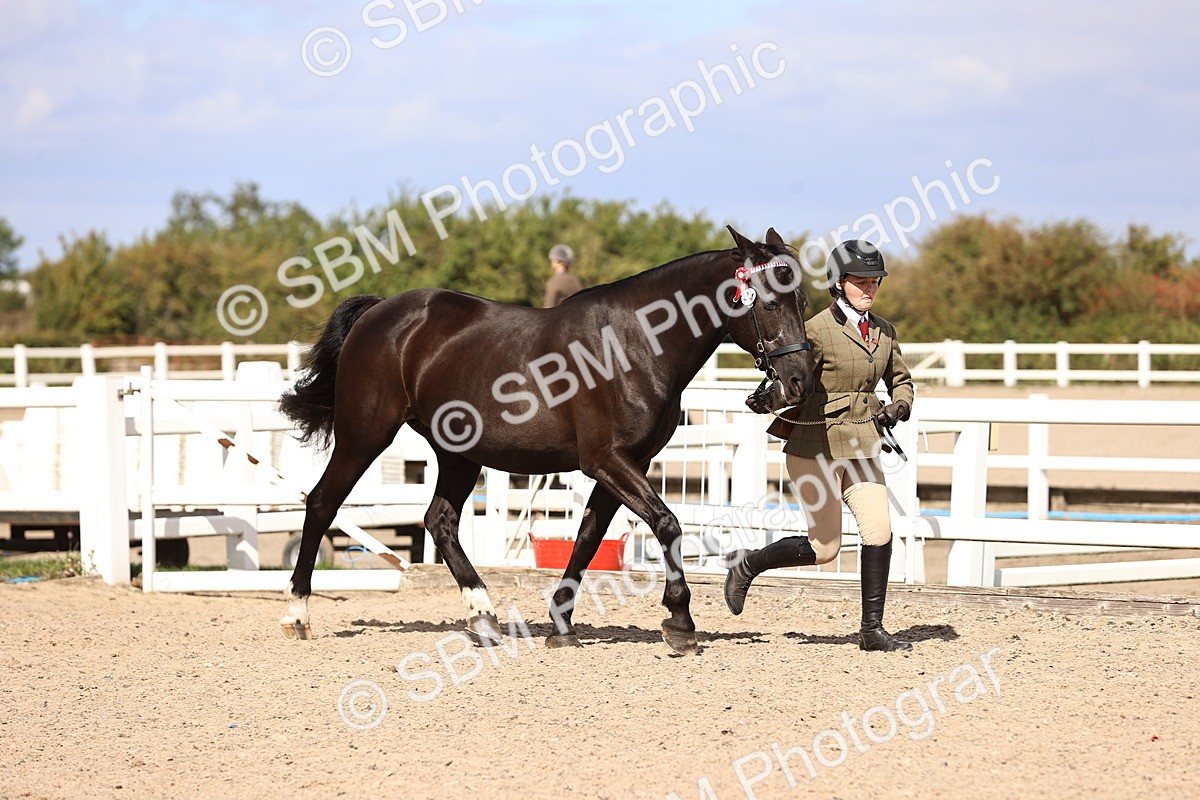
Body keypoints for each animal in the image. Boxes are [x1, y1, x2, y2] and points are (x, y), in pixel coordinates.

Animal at [278, 226, 814, 654]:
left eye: (803, 301)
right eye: (769, 301)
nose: (798, 382)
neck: (635, 345)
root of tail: (380, 314)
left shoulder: (624, 465)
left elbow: (588, 538)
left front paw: (562, 624)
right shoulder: (609, 461)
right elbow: (667, 524)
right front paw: (680, 623)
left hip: (459, 454)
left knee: (440, 522)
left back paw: (485, 618)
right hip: (364, 435)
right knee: (322, 504)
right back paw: (297, 616)